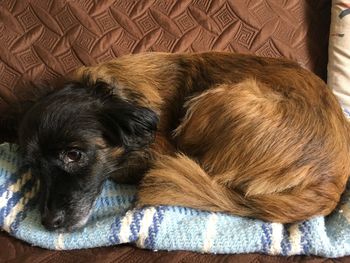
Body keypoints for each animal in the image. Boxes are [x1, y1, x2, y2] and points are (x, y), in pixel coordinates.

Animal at [15, 52, 350, 232]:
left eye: (74, 155)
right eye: (33, 167)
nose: (49, 222)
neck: (113, 91)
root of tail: (330, 184)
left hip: (219, 100)